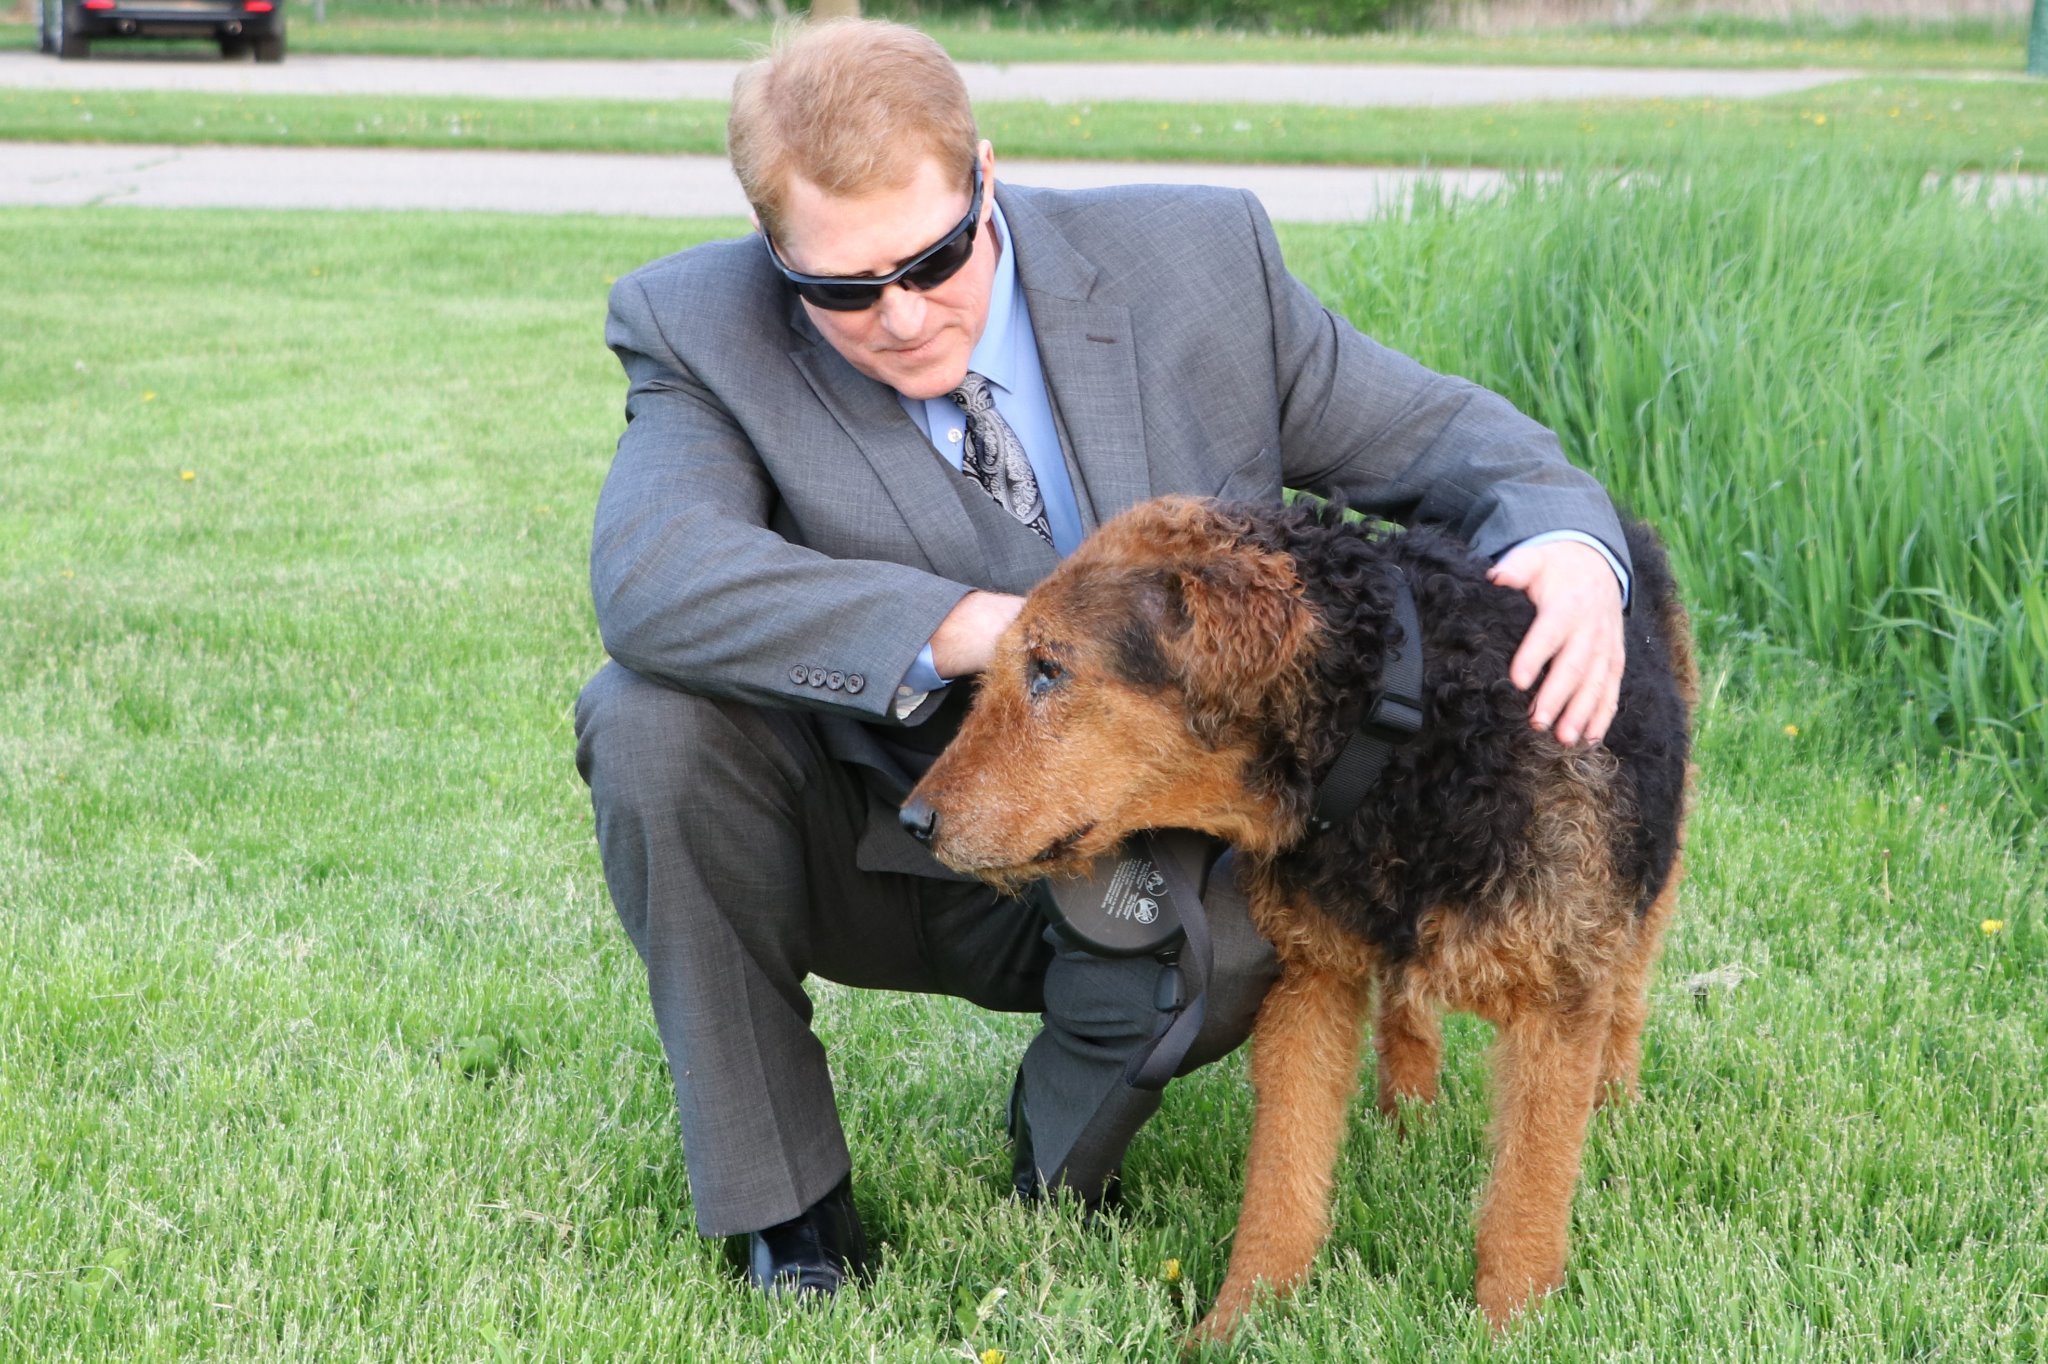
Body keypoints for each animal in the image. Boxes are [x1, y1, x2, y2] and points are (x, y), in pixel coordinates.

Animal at [909, 491, 1695, 1335]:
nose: (914, 821)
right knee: (1407, 1017)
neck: (1404, 736)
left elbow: (1526, 1196)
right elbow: (1282, 1178)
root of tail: (1621, 510)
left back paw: (1612, 1113)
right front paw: (1236, 1323)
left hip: (1650, 877)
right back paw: (1407, 1126)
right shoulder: (1309, 977)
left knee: (1626, 1002)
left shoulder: (1556, 994)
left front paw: (1509, 1330)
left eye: (1049, 668)